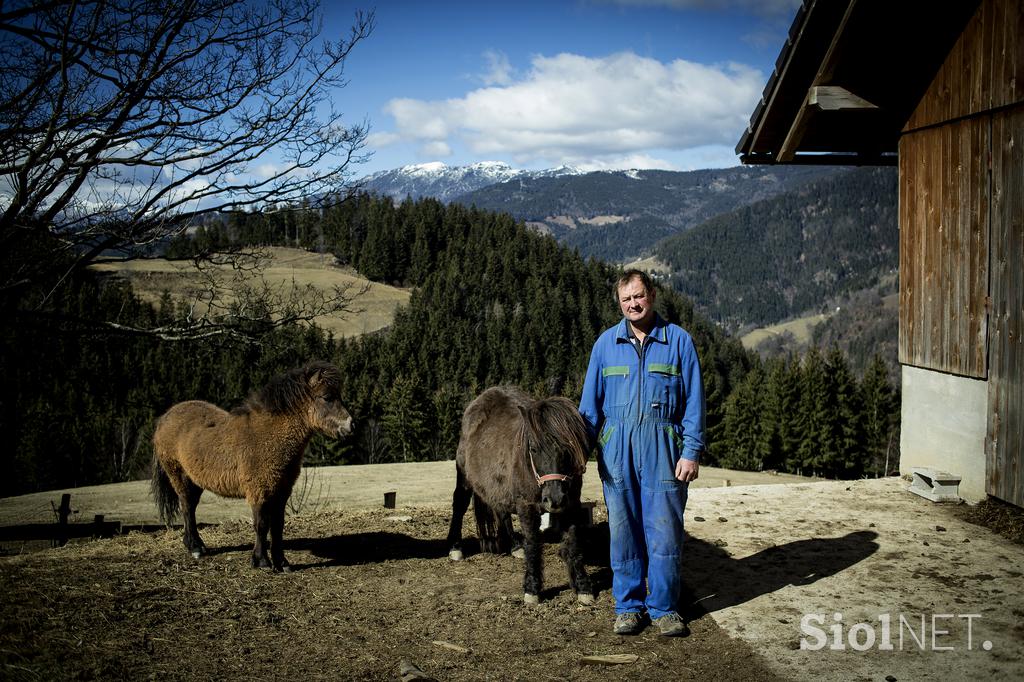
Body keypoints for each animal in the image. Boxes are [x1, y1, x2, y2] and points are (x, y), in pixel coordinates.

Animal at [150, 358, 352, 569]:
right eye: (327, 397)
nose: (350, 425)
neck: (268, 435)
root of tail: (164, 417)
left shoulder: (281, 491)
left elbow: (278, 525)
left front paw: (281, 561)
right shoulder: (259, 490)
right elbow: (261, 524)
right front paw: (261, 560)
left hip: (195, 480)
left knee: (191, 507)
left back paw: (196, 545)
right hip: (178, 475)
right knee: (187, 507)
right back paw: (195, 548)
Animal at [446, 385, 598, 602]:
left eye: (569, 449)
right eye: (533, 449)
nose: (554, 499)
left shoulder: (571, 504)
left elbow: (573, 540)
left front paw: (583, 586)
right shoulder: (527, 505)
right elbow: (533, 543)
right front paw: (532, 589)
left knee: (501, 511)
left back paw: (515, 545)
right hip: (465, 477)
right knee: (459, 504)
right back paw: (455, 548)